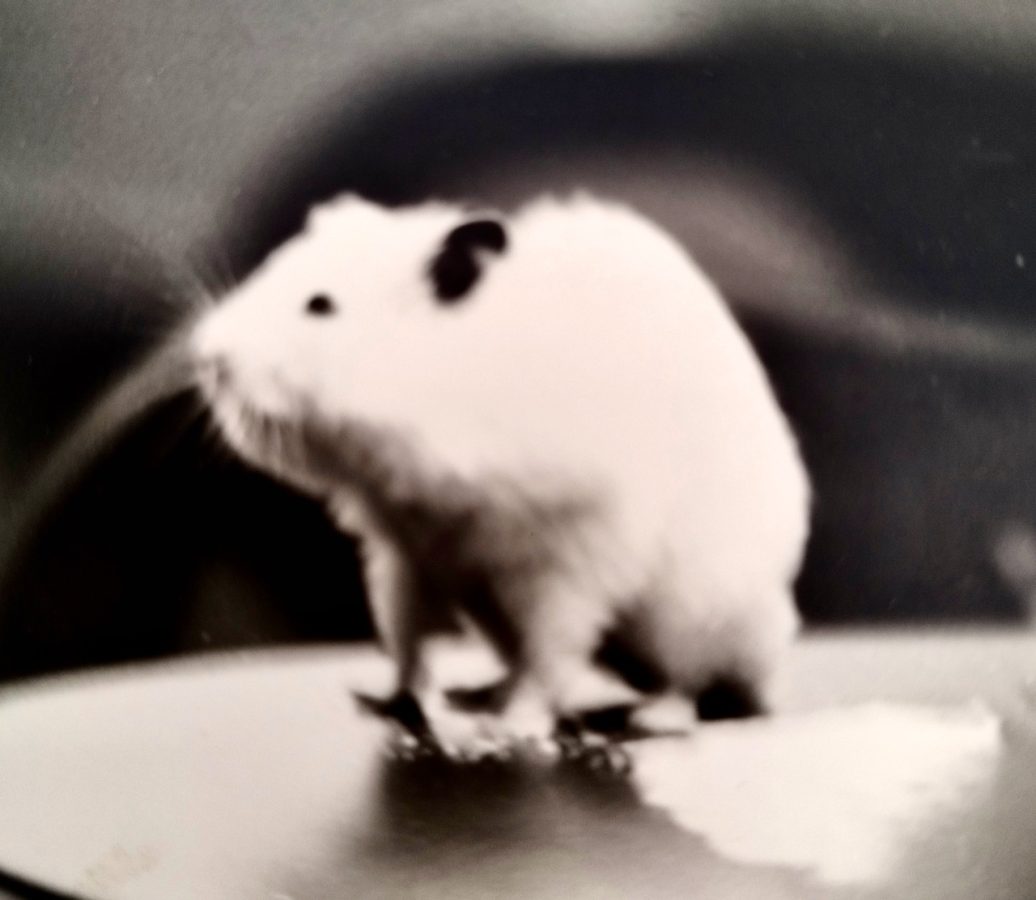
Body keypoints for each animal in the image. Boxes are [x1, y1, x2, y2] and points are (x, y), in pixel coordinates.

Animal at [190, 193, 811, 735]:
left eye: (320, 305)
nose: (206, 358)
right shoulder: (405, 553)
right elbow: (405, 639)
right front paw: (395, 703)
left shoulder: (567, 561)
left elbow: (550, 656)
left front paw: (515, 730)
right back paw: (477, 695)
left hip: (697, 612)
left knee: (690, 680)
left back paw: (650, 718)